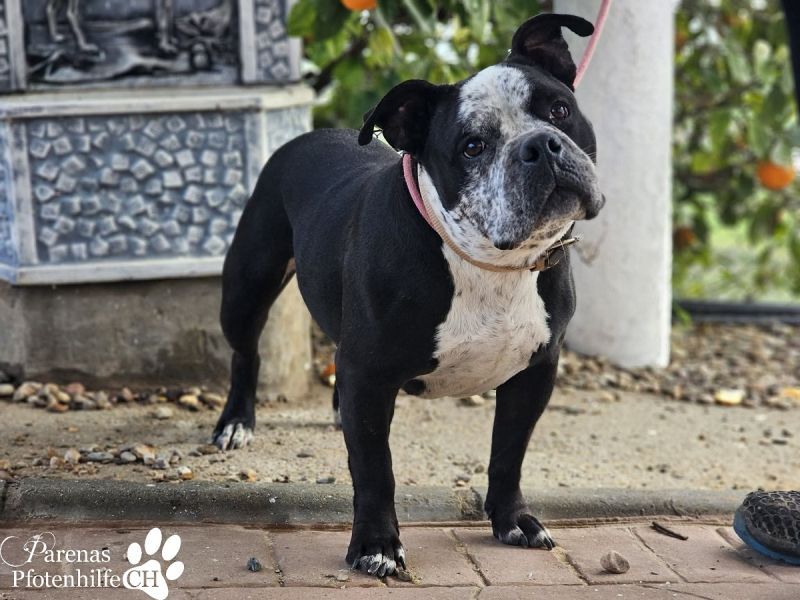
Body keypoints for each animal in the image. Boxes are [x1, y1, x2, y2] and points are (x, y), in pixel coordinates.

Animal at [213, 13, 604, 576]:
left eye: (559, 110)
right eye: (471, 146)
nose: (540, 146)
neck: (487, 262)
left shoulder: (534, 372)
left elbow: (508, 452)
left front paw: (512, 520)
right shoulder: (370, 374)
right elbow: (376, 469)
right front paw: (376, 545)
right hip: (247, 288)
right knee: (246, 352)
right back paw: (236, 423)